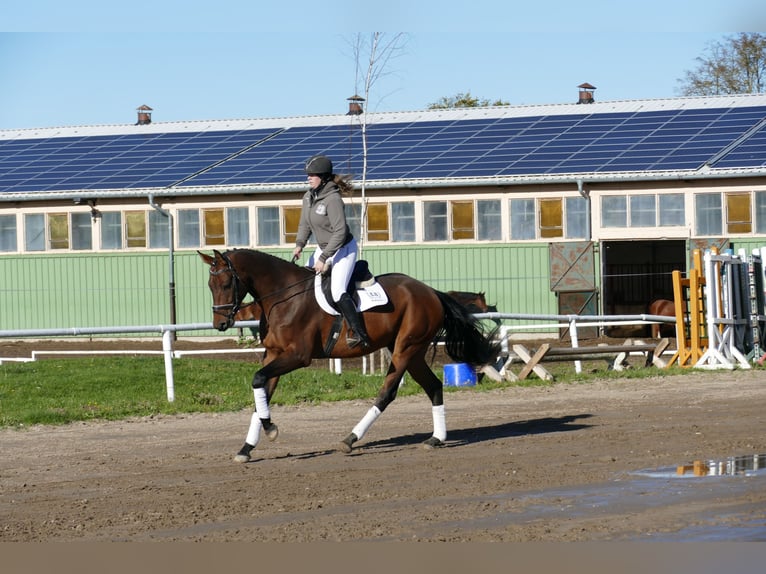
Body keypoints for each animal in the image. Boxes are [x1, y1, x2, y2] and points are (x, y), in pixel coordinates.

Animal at [199, 249, 502, 463]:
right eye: (210, 285)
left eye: (225, 283)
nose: (220, 324)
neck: (283, 298)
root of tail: (430, 292)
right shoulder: (273, 354)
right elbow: (260, 390)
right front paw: (247, 447)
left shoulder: (297, 356)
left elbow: (258, 380)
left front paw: (270, 429)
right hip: (412, 352)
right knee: (434, 386)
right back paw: (436, 438)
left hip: (406, 349)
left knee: (387, 392)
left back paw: (351, 438)